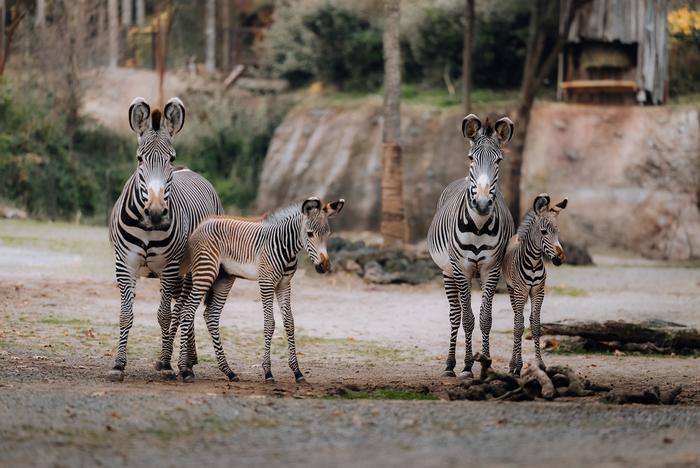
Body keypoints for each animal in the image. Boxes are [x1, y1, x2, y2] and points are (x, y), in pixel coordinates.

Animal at [107, 97, 223, 382]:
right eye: (139, 158)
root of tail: (189, 170)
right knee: (184, 308)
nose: (157, 212)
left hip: (192, 267)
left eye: (171, 158)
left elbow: (164, 315)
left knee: (185, 309)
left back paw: (183, 364)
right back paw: (186, 360)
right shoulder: (125, 263)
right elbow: (126, 314)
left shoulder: (169, 267)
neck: (149, 226)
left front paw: (168, 364)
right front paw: (118, 365)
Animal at [175, 197, 345, 383]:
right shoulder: (266, 282)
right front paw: (268, 372)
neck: (286, 247)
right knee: (187, 311)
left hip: (224, 277)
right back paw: (184, 370)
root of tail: (200, 225)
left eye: (328, 234)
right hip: (205, 272)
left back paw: (228, 371)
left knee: (211, 314)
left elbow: (289, 323)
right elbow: (269, 323)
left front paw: (297, 372)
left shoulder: (284, 284)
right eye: (309, 234)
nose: (324, 267)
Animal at [427, 114, 515, 379]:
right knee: (455, 315)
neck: (477, 226)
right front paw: (467, 366)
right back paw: (450, 365)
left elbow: (485, 318)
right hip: (447, 272)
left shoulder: (491, 269)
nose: (483, 203)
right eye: (471, 158)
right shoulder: (461, 269)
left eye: (498, 160)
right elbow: (467, 318)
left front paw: (485, 363)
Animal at [502, 193, 567, 375]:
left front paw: (540, 363)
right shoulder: (519, 291)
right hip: (512, 290)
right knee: (517, 320)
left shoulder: (538, 291)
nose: (560, 259)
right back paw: (513, 364)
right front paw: (517, 366)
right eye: (544, 232)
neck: (533, 262)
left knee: (525, 319)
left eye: (558, 232)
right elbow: (518, 327)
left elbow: (536, 325)